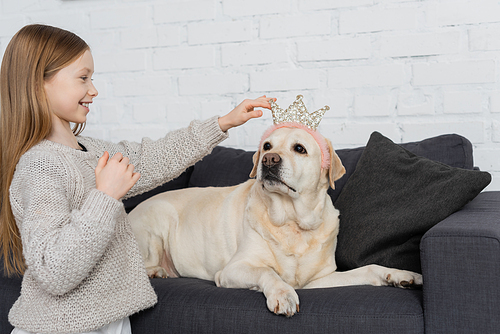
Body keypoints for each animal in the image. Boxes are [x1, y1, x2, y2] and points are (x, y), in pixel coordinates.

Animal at [129, 125, 422, 316]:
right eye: (267, 146)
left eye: (299, 148)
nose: (269, 159)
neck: (293, 222)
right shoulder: (231, 270)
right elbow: (266, 271)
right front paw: (283, 294)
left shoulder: (319, 281)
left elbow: (368, 270)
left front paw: (400, 275)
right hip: (159, 218)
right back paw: (157, 271)